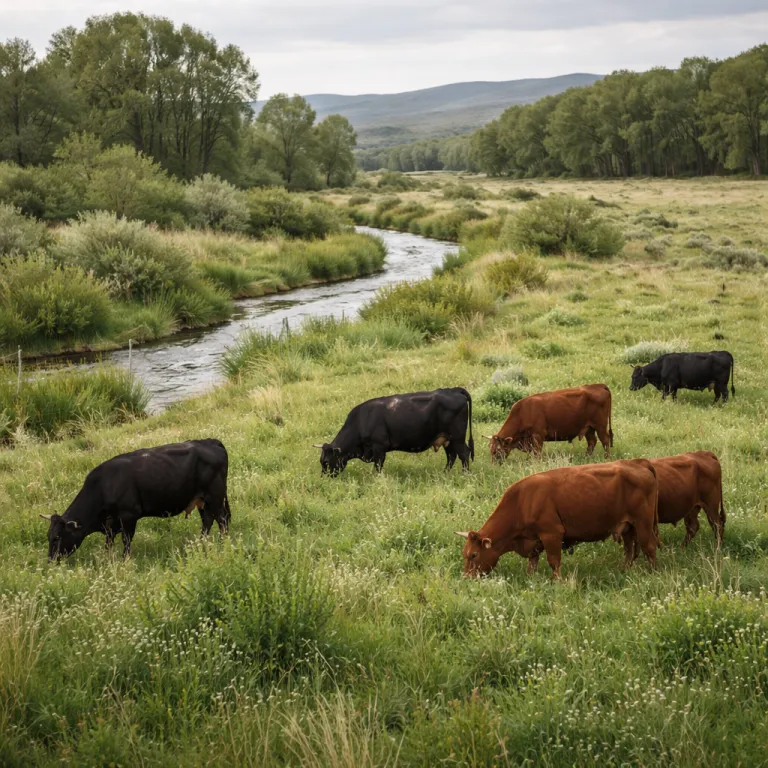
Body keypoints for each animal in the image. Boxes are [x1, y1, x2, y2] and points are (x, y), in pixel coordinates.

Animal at [41, 439, 231, 560]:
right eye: (48, 536)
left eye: (56, 537)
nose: (50, 560)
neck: (104, 484)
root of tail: (210, 441)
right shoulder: (111, 523)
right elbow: (108, 542)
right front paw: (108, 558)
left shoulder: (129, 515)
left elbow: (126, 540)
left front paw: (125, 560)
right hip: (202, 499)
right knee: (208, 520)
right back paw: (200, 544)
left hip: (215, 496)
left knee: (222, 520)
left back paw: (223, 544)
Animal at [313, 387, 474, 476]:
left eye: (326, 461)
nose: (324, 478)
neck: (362, 420)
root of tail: (453, 390)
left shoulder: (379, 447)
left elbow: (378, 467)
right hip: (447, 439)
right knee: (452, 456)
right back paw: (444, 474)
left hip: (457, 437)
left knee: (464, 454)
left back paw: (465, 475)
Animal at [456, 459, 659, 579]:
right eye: (464, 554)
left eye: (473, 555)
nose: (466, 578)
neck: (522, 500)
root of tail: (638, 463)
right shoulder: (534, 541)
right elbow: (532, 563)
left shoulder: (551, 534)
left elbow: (554, 561)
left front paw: (557, 582)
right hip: (628, 527)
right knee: (630, 551)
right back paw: (625, 570)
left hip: (644, 523)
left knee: (649, 547)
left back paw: (652, 573)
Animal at [483, 384, 613, 462]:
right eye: (490, 449)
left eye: (497, 450)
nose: (494, 465)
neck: (523, 412)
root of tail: (599, 385)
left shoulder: (538, 436)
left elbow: (537, 454)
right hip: (589, 428)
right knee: (592, 442)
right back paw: (586, 458)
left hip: (600, 426)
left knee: (605, 441)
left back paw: (606, 458)